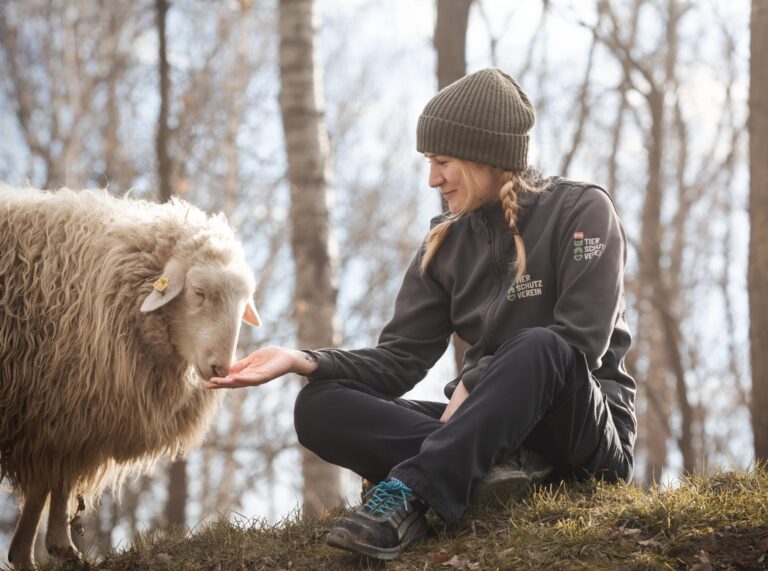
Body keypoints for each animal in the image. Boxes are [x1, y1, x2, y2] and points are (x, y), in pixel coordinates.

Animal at [0, 185, 261, 569]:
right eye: (199, 292)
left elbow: (55, 482)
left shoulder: (64, 417)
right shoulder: (50, 411)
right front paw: (41, 551)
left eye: (244, 303)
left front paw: (47, 550)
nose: (221, 369)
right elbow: (50, 481)